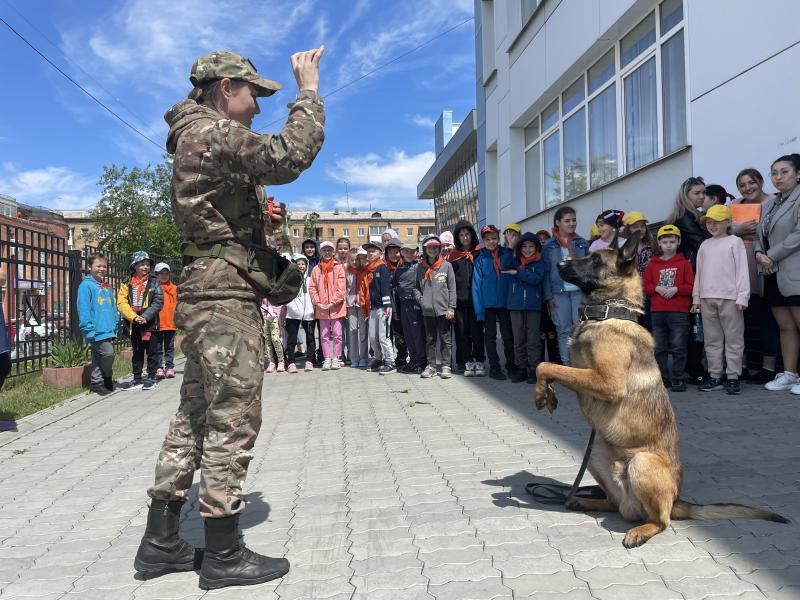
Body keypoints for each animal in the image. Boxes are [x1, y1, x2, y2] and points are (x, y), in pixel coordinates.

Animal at [536, 234, 792, 548]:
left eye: (595, 260)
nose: (559, 265)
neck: (608, 313)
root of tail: (677, 501)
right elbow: (554, 367)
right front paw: (546, 393)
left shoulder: (607, 382)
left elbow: (547, 364)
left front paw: (541, 391)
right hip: (596, 453)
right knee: (613, 503)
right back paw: (582, 501)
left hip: (641, 463)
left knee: (661, 521)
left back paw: (640, 529)